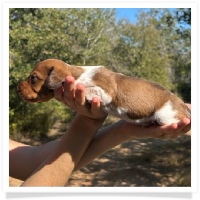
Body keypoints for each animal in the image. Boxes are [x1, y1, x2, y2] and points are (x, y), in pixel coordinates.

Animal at [17, 58, 191, 126]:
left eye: (33, 78)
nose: (17, 88)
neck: (77, 74)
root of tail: (183, 106)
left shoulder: (105, 92)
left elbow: (88, 88)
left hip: (165, 116)